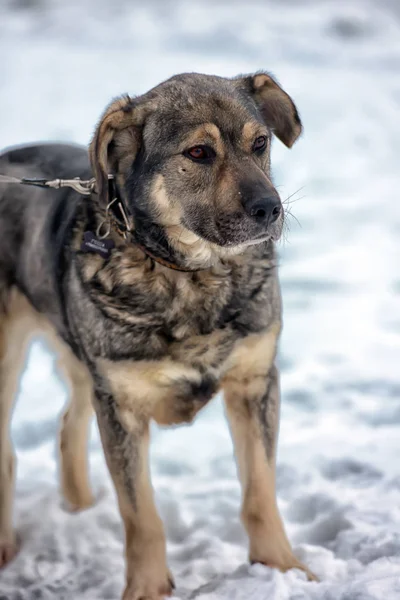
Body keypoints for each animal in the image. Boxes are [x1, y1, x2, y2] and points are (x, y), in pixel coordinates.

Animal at [0, 72, 314, 596]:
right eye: (199, 153)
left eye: (260, 143)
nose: (271, 209)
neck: (190, 278)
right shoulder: (122, 406)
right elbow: (142, 516)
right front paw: (147, 589)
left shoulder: (255, 383)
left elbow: (260, 492)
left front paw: (281, 568)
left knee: (68, 426)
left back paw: (81, 511)